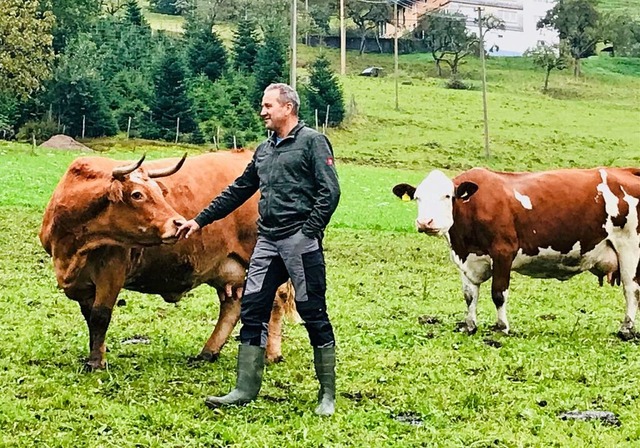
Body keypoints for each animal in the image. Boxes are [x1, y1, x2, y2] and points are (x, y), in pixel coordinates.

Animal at [41, 152, 296, 370]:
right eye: (137, 194)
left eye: (159, 192)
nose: (178, 223)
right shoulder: (81, 283)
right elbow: (89, 317)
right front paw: (97, 355)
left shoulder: (112, 271)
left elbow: (100, 316)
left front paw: (96, 363)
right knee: (232, 306)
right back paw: (208, 352)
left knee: (275, 300)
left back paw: (272, 353)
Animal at [390, 168, 640, 340]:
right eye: (418, 197)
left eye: (447, 196)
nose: (425, 222)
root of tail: (625, 170)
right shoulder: (464, 258)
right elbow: (469, 295)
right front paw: (469, 325)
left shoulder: (503, 252)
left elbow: (498, 293)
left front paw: (502, 327)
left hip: (630, 248)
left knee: (631, 290)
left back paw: (626, 329)